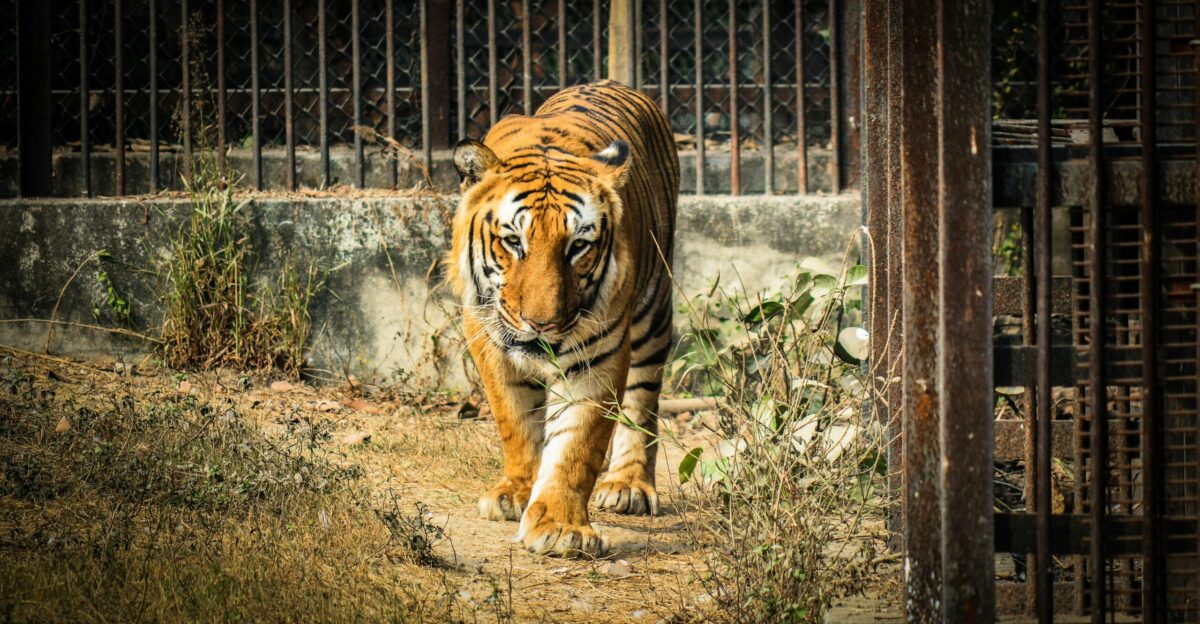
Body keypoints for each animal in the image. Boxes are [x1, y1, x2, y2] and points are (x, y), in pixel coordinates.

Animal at [448, 81, 679, 557]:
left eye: (578, 247)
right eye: (513, 242)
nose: (542, 324)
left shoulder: (599, 355)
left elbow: (576, 445)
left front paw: (560, 527)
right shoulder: (486, 341)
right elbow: (516, 423)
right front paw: (518, 492)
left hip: (653, 312)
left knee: (643, 398)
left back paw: (628, 485)